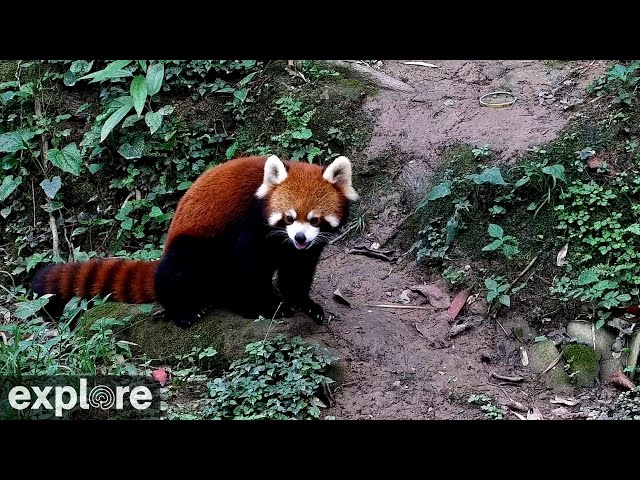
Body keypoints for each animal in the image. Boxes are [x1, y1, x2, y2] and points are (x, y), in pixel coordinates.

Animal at [31, 156, 360, 328]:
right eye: (288, 218)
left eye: (314, 220)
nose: (300, 237)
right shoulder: (252, 225)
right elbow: (249, 269)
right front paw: (266, 306)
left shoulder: (304, 249)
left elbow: (298, 272)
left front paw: (305, 304)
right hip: (192, 248)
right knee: (181, 271)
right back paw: (185, 310)